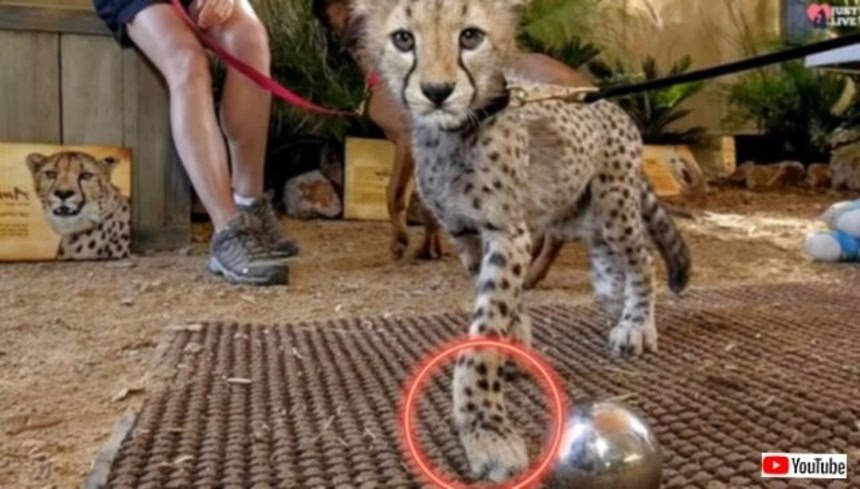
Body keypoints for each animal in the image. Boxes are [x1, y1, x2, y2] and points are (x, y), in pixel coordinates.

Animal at [350, 0, 692, 483]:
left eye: (470, 36)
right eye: (403, 39)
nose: (437, 91)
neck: (455, 134)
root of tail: (611, 105)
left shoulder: (507, 233)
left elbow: (487, 325)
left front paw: (485, 427)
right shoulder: (467, 236)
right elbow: (506, 304)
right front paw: (514, 352)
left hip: (614, 205)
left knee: (640, 257)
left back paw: (636, 323)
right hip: (575, 209)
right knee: (603, 254)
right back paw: (613, 298)